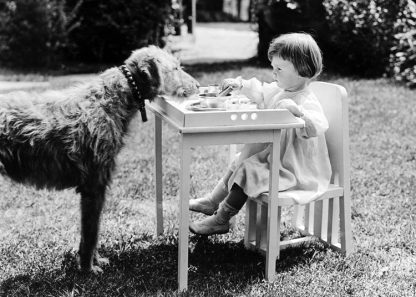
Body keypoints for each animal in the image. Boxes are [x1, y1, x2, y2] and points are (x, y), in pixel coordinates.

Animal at [0, 46, 200, 272]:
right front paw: (88, 268)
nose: (197, 86)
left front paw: (93, 262)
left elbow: (91, 232)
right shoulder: (94, 185)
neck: (114, 95)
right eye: (175, 68)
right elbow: (91, 233)